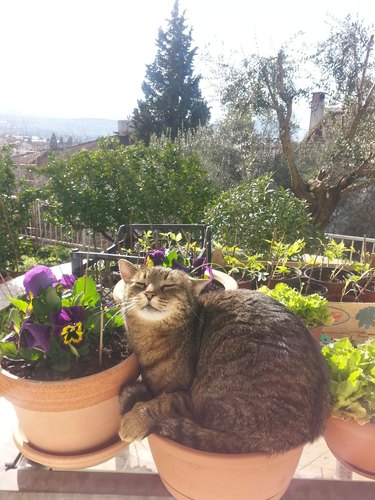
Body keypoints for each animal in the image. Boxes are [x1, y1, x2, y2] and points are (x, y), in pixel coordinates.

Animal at [118, 260, 332, 456]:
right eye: (141, 284)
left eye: (168, 286)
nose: (149, 293)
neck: (150, 339)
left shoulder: (186, 396)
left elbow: (160, 402)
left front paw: (134, 420)